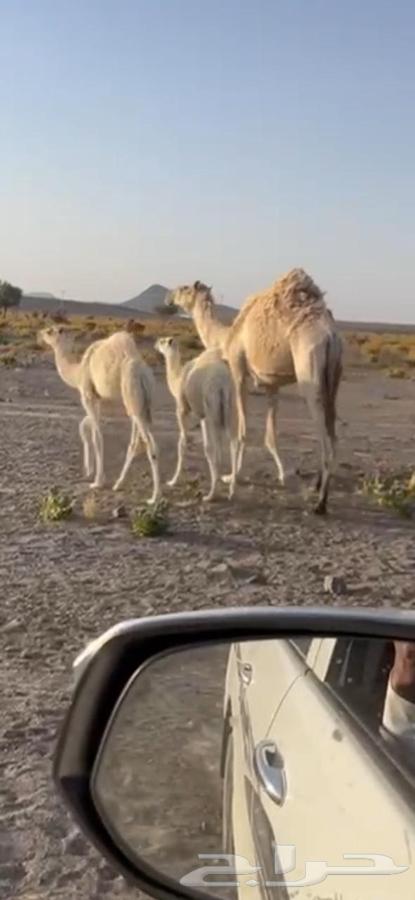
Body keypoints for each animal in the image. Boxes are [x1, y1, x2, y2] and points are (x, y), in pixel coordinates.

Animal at [40, 327, 160, 503]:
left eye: (50, 331)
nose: (39, 334)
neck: (78, 371)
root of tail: (143, 374)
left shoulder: (88, 396)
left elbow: (97, 437)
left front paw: (97, 482)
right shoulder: (99, 400)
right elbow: (84, 425)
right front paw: (88, 469)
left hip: (133, 396)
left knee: (150, 444)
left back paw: (155, 497)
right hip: (141, 405)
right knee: (136, 441)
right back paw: (119, 483)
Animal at [155, 337, 240, 501]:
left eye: (162, 341)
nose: (155, 343)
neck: (177, 378)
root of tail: (223, 383)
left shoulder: (182, 409)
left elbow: (183, 442)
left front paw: (172, 481)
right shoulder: (202, 416)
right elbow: (209, 446)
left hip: (212, 407)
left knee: (216, 446)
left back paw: (211, 494)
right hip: (230, 407)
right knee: (232, 442)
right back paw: (231, 489)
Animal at [168, 269, 343, 514]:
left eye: (184, 288)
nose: (169, 296)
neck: (227, 337)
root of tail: (330, 337)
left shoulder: (238, 370)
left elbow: (242, 430)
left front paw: (232, 477)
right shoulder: (272, 384)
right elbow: (271, 434)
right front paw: (281, 474)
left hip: (310, 373)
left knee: (324, 435)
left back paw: (321, 502)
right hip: (333, 381)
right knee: (332, 432)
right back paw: (316, 485)